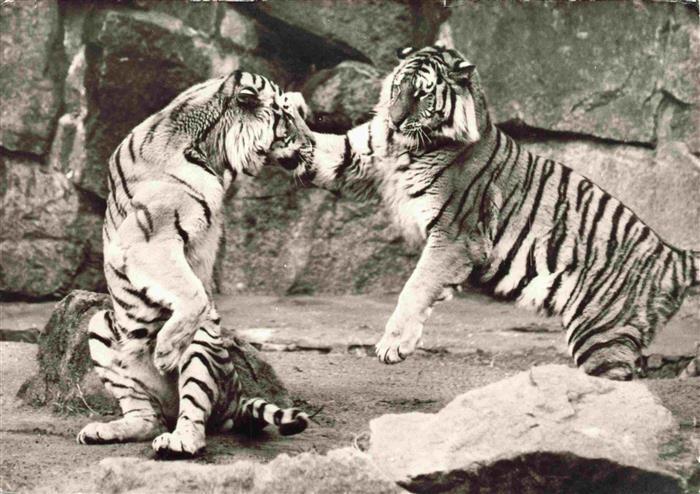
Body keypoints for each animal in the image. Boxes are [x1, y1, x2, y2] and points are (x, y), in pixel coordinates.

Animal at [77, 70, 313, 458]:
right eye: (289, 118)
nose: (314, 146)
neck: (215, 150)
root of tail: (236, 395)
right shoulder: (148, 239)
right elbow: (193, 293)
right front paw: (165, 352)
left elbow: (196, 294)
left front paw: (166, 352)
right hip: (101, 325)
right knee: (148, 418)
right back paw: (113, 427)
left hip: (201, 340)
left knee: (190, 415)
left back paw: (179, 439)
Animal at [286, 45, 700, 381]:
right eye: (398, 88)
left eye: (423, 93)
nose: (396, 119)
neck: (404, 146)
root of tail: (672, 256)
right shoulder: (357, 156)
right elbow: (317, 148)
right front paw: (282, 112)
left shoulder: (454, 235)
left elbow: (416, 286)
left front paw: (393, 345)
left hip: (601, 331)